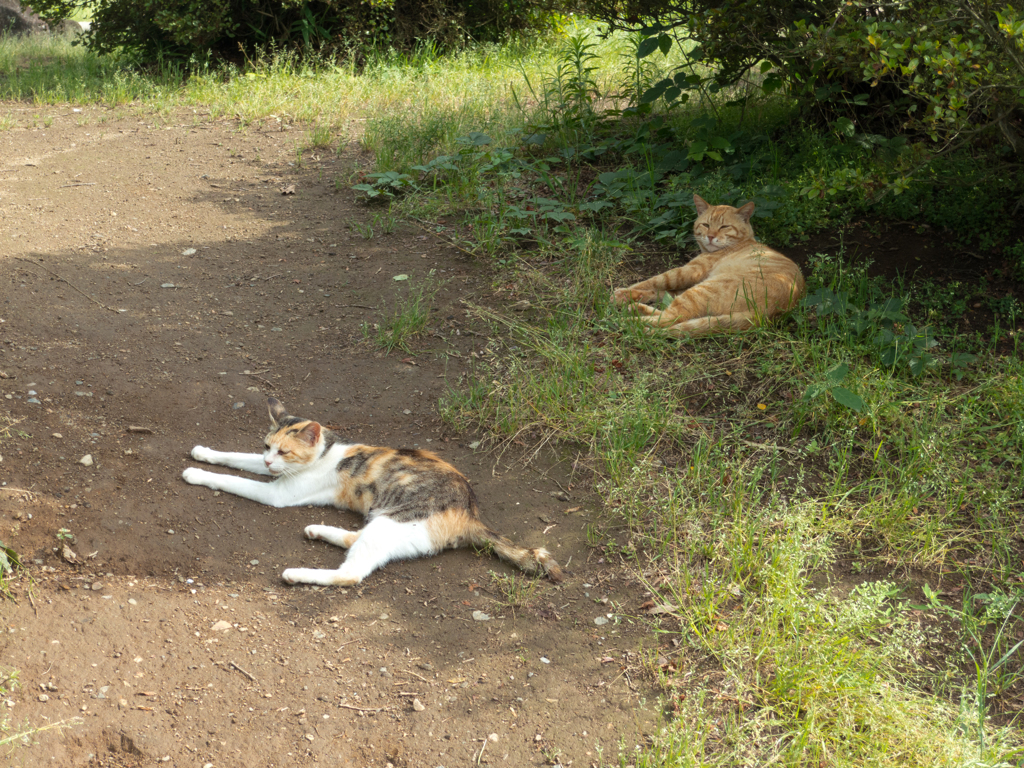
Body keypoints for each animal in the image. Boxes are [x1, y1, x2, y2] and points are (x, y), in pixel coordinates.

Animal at [184, 397, 569, 589]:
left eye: (284, 451)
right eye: (266, 446)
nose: (269, 460)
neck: (326, 452)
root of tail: (473, 515)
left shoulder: (277, 493)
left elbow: (233, 481)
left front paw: (196, 473)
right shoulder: (266, 470)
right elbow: (235, 457)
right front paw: (204, 452)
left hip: (392, 524)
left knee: (351, 574)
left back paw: (297, 573)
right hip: (382, 522)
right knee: (356, 540)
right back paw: (318, 530)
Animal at [610, 193, 802, 335]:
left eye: (724, 227)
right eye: (706, 224)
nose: (710, 236)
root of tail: (766, 314)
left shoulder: (689, 271)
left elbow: (654, 281)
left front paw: (621, 293)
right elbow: (659, 291)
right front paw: (630, 296)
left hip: (703, 289)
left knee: (670, 319)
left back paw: (631, 322)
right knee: (674, 315)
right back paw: (635, 308)